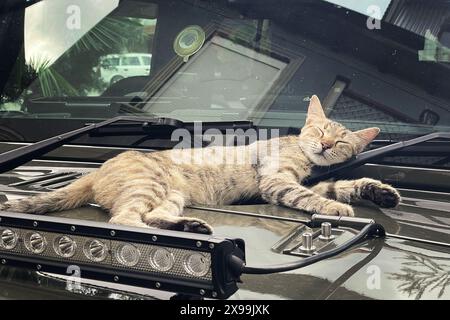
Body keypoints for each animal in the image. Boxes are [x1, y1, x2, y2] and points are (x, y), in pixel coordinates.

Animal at [0, 95, 400, 232]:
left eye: (341, 142)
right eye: (318, 130)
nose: (325, 144)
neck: (306, 160)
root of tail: (98, 170)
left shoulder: (314, 179)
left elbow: (342, 185)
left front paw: (379, 193)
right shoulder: (277, 182)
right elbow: (312, 197)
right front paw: (337, 209)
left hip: (171, 197)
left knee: (152, 216)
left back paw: (188, 226)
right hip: (150, 186)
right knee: (125, 219)